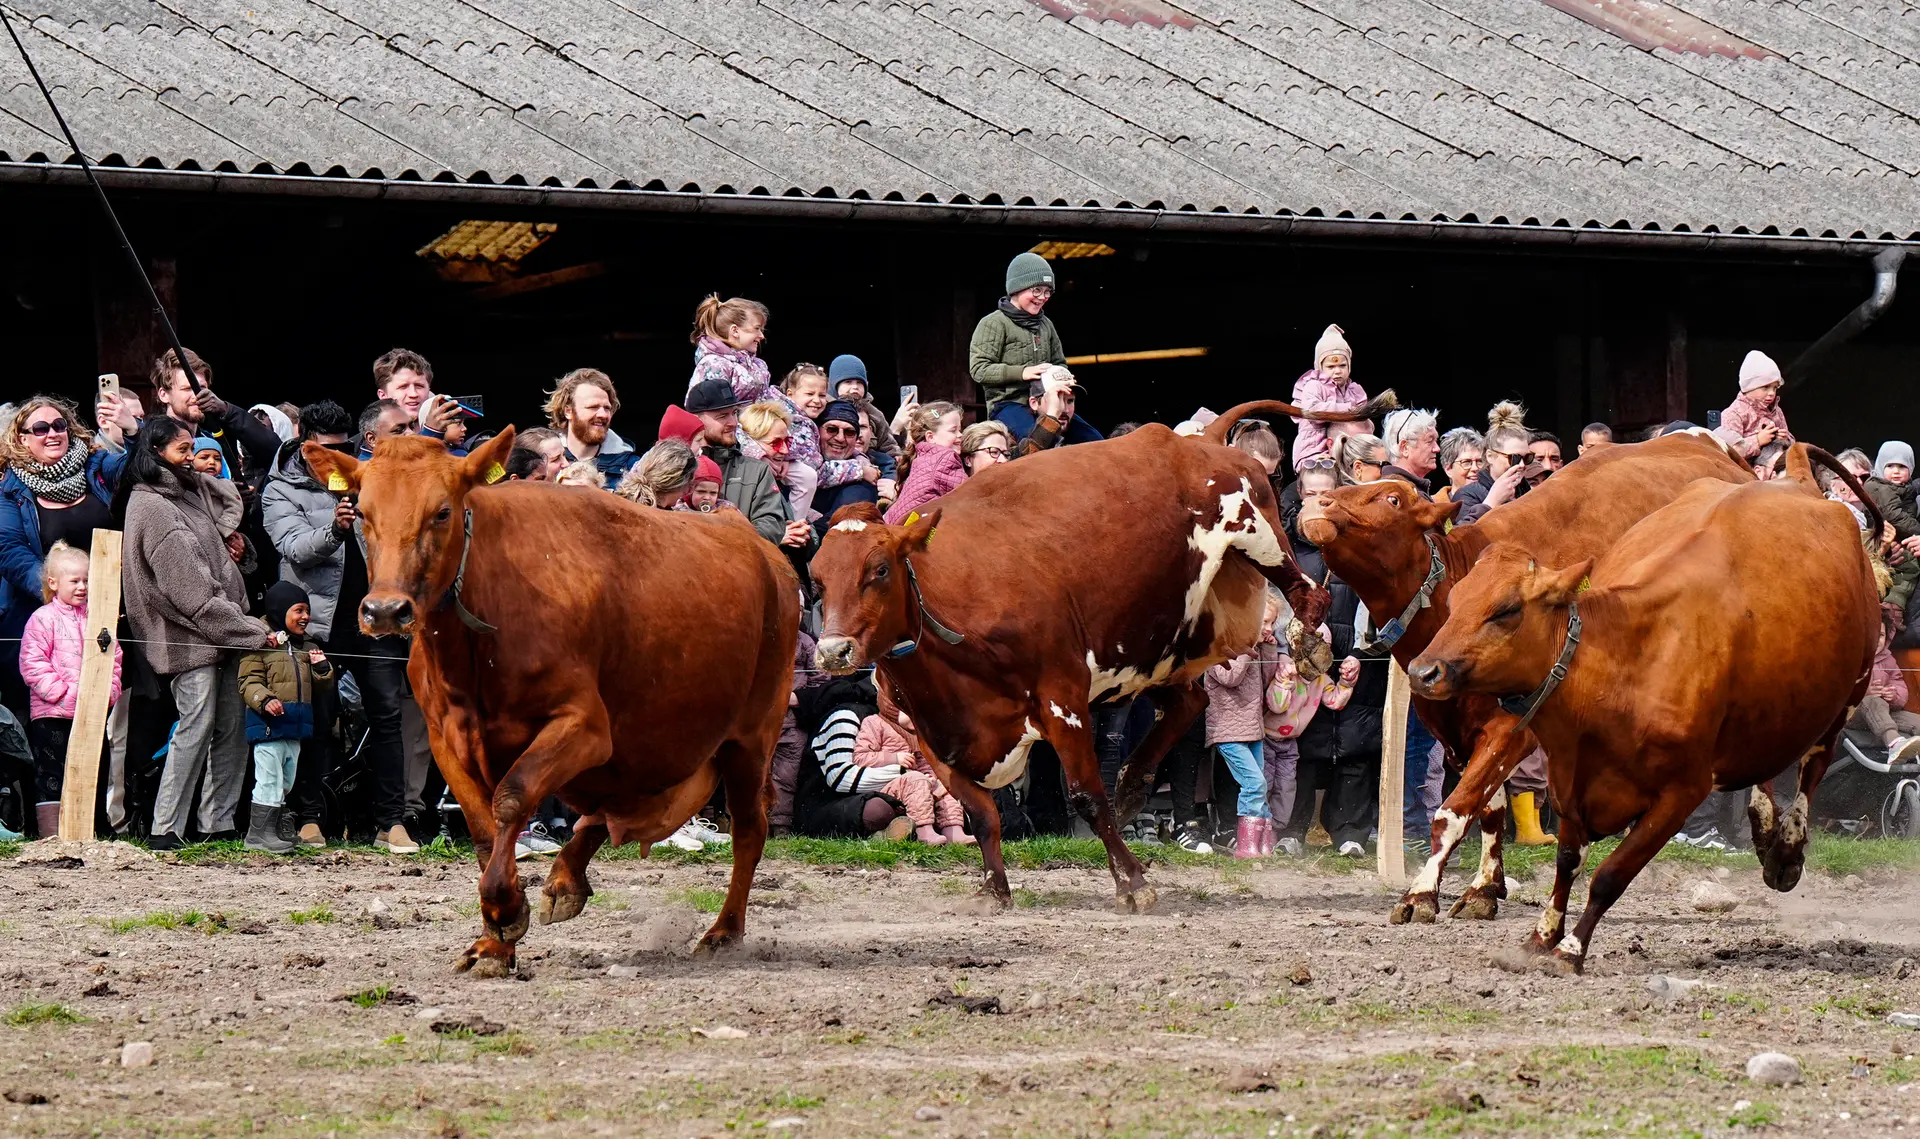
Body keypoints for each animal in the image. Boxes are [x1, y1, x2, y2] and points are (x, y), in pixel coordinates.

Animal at [303, 432, 799, 977]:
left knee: (748, 829)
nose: (385, 610)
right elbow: (483, 829)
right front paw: (493, 941)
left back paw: (724, 931)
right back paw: (565, 880)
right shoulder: (445, 737)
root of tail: (759, 545)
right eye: (362, 512)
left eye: (442, 512)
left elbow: (512, 798)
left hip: (751, 736)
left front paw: (504, 912)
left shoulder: (585, 728)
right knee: (613, 807)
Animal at [809, 395, 1396, 910]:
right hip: (1162, 642)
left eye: (879, 570)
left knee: (1309, 592)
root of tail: (1195, 440)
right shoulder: (931, 736)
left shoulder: (1062, 699)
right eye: (816, 579)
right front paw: (995, 887)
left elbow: (1086, 797)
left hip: (1258, 535)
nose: (834, 650)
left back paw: (1309, 644)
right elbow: (981, 812)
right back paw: (1134, 785)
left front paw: (1132, 882)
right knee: (1191, 703)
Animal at [1296, 432, 1753, 923]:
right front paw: (1483, 887)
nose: (1316, 501)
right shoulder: (1459, 731)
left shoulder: (1509, 727)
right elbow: (1489, 808)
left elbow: (1454, 811)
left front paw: (1420, 894)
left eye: (1392, 498)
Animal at [1405, 444, 1882, 972]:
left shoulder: (1681, 793)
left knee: (1814, 763)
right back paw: (1762, 826)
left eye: (1506, 610)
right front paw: (1541, 935)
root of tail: (1796, 478)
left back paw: (1787, 851)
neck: (1624, 661)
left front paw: (1570, 949)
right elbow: (1567, 862)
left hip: (1849, 693)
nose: (1423, 671)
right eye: (1455, 600)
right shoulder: (1571, 783)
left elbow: (1611, 875)